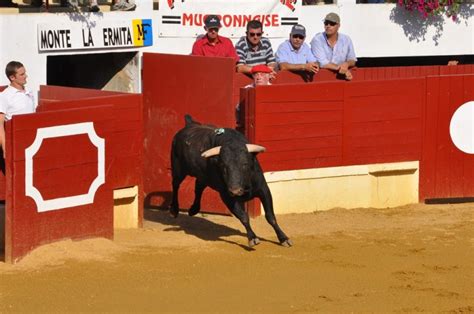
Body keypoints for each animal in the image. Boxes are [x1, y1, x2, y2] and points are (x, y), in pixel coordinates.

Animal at [168, 115, 290, 248]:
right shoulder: (227, 196)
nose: (235, 190)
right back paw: (174, 210)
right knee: (175, 185)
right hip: (178, 169)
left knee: (198, 186)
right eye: (223, 166)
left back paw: (193, 209)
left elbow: (270, 216)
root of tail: (189, 124)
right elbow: (244, 217)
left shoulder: (264, 189)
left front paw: (283, 238)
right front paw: (252, 238)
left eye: (245, 164)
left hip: (204, 176)